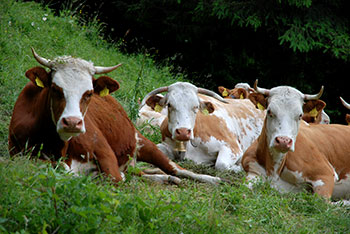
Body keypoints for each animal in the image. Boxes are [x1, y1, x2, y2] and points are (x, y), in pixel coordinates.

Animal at [8, 48, 224, 186]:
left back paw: (211, 180)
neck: (60, 148)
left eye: (88, 93)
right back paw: (163, 178)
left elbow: (115, 177)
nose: (72, 122)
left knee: (176, 169)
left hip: (143, 143)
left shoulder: (105, 153)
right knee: (142, 172)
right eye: (55, 88)